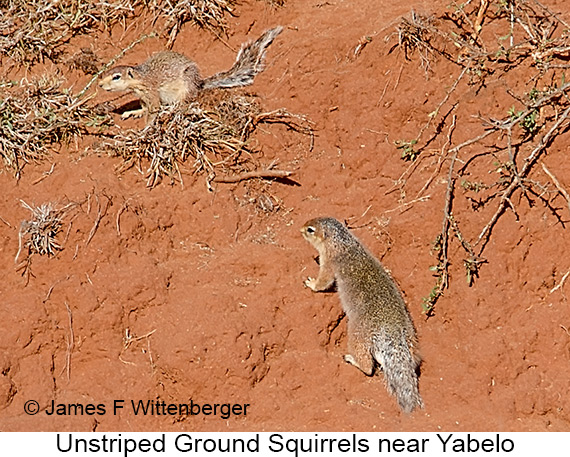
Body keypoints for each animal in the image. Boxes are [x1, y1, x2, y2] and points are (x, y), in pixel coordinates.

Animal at [99, 26, 282, 119]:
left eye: (116, 77)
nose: (100, 84)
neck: (140, 79)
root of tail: (198, 83)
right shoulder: (143, 97)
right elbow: (144, 108)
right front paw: (133, 112)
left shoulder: (151, 93)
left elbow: (154, 110)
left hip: (186, 84)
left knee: (185, 103)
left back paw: (173, 108)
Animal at [302, 216, 422, 412]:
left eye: (310, 230)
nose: (300, 229)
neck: (343, 242)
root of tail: (392, 332)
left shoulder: (328, 263)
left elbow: (323, 281)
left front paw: (311, 283)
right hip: (411, 341)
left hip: (357, 336)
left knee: (367, 366)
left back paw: (352, 359)